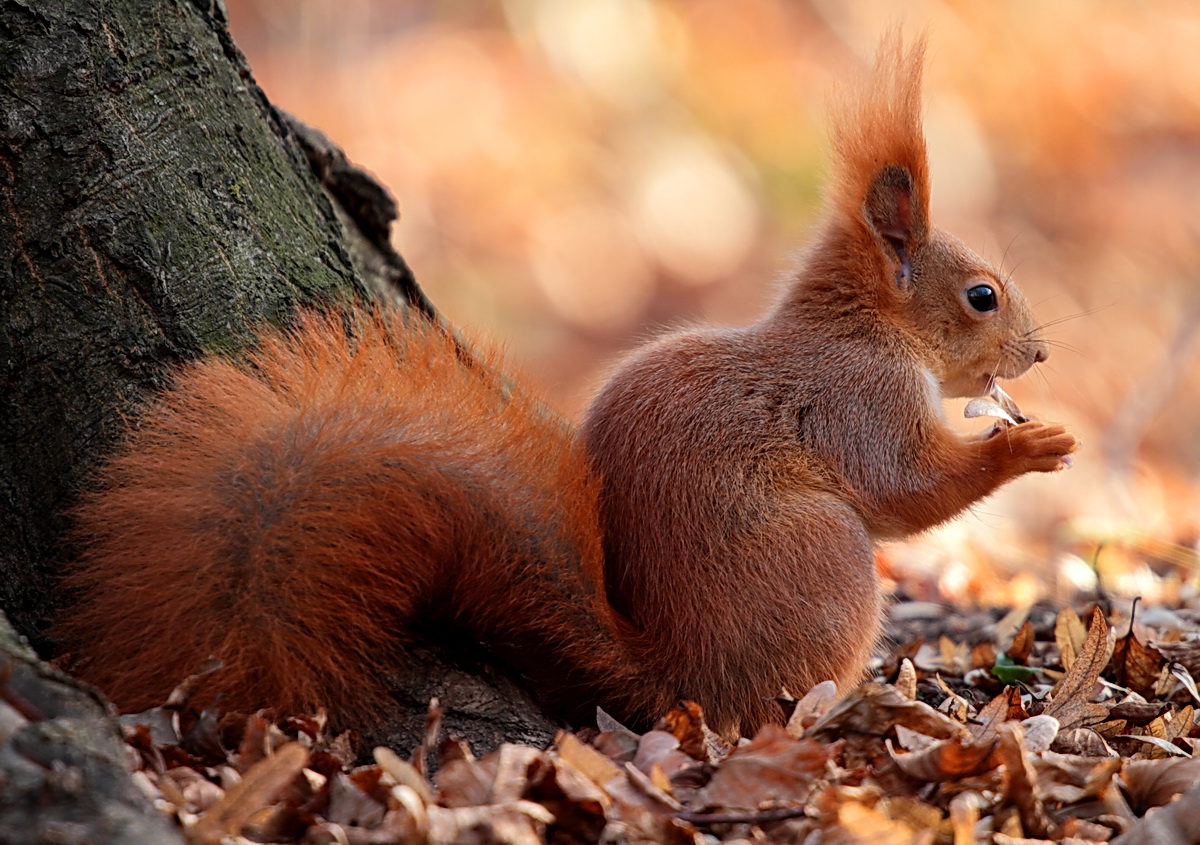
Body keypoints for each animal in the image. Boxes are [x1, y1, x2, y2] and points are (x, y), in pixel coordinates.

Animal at [55, 37, 1078, 740]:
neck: (861, 327)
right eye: (982, 295)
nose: (1038, 355)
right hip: (825, 560)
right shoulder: (859, 398)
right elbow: (906, 492)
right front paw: (1031, 447)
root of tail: (673, 679)